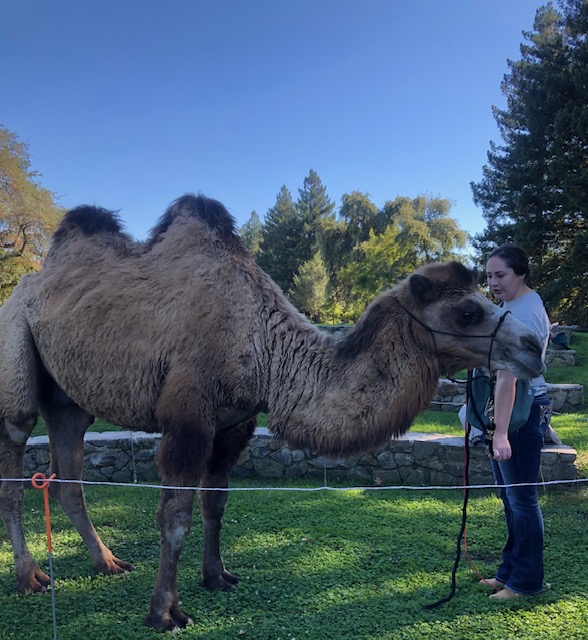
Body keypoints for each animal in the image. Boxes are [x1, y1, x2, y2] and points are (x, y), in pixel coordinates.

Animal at [0, 194, 544, 631]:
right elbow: (175, 517)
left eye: (487, 294)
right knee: (16, 453)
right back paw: (31, 577)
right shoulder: (188, 416)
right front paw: (164, 613)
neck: (265, 346)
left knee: (68, 474)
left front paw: (217, 577)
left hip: (69, 399)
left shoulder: (234, 421)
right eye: (468, 312)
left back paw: (108, 563)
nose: (535, 345)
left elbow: (216, 504)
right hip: (15, 340)